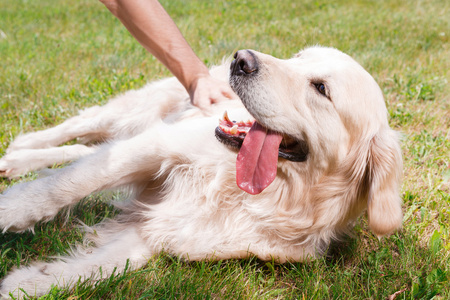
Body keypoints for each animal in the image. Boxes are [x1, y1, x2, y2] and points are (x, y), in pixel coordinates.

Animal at [0, 47, 400, 298]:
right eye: (298, 57)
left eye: (321, 89)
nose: (242, 59)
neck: (260, 195)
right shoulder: (158, 144)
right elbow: (64, 186)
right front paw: (10, 212)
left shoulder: (164, 228)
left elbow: (102, 266)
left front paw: (26, 283)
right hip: (139, 110)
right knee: (79, 128)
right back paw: (21, 149)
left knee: (84, 148)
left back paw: (17, 160)